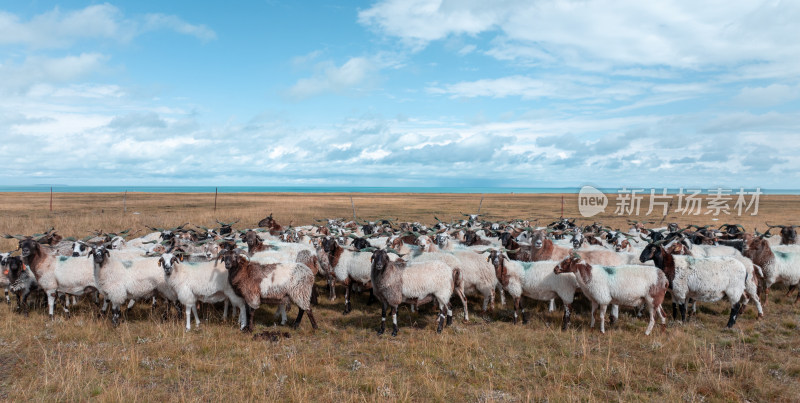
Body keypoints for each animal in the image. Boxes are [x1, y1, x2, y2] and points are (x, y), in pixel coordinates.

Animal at [636, 243, 764, 328]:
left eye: (652, 249)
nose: (641, 258)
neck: (671, 265)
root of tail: (745, 266)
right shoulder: (675, 291)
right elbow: (675, 306)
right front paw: (675, 318)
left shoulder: (680, 290)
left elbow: (682, 307)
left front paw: (682, 322)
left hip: (735, 289)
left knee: (739, 305)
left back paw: (730, 325)